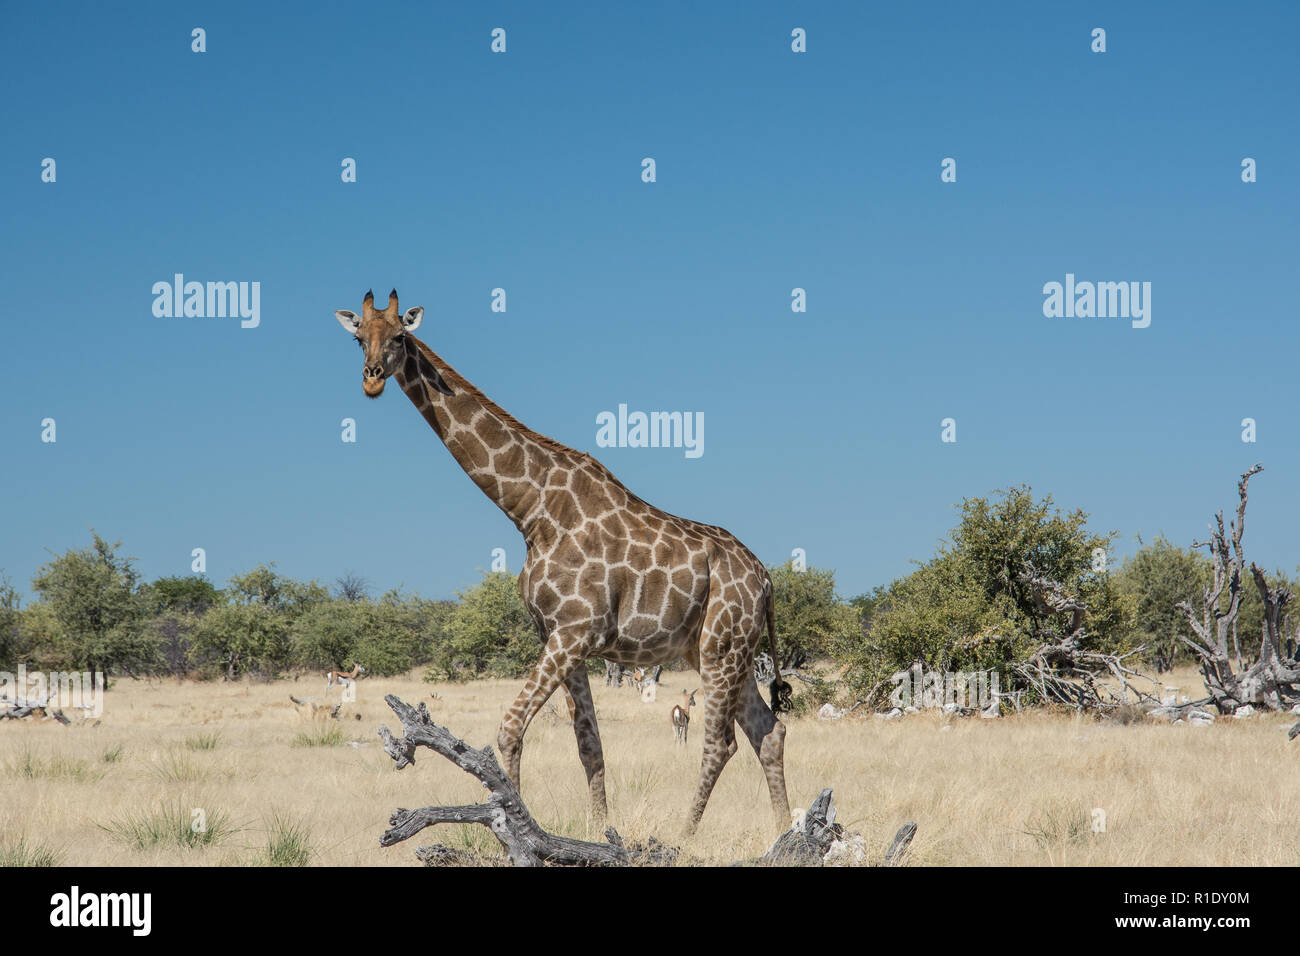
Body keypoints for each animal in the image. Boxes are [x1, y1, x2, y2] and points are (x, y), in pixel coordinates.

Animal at [335, 291, 790, 837]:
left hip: (723, 647)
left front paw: (509, 825)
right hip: (715, 650)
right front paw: (598, 831)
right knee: (769, 730)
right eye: (359, 337)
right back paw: (786, 832)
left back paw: (685, 836)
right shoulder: (559, 635)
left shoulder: (574, 631)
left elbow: (509, 729)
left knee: (722, 742)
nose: (372, 377)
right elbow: (588, 744)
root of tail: (766, 580)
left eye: (400, 336)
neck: (530, 510)